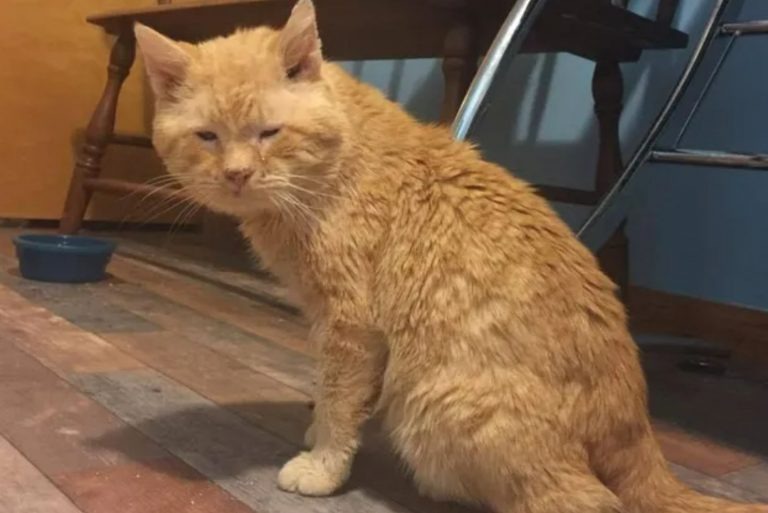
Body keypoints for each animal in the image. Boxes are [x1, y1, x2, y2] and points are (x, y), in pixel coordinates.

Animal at [136, 2, 768, 510]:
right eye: (207, 137)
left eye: (269, 132)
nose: (237, 175)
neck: (337, 163)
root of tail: (635, 423)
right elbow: (335, 395)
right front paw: (320, 436)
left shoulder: (350, 326)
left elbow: (340, 400)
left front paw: (323, 464)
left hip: (439, 407)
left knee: (589, 500)